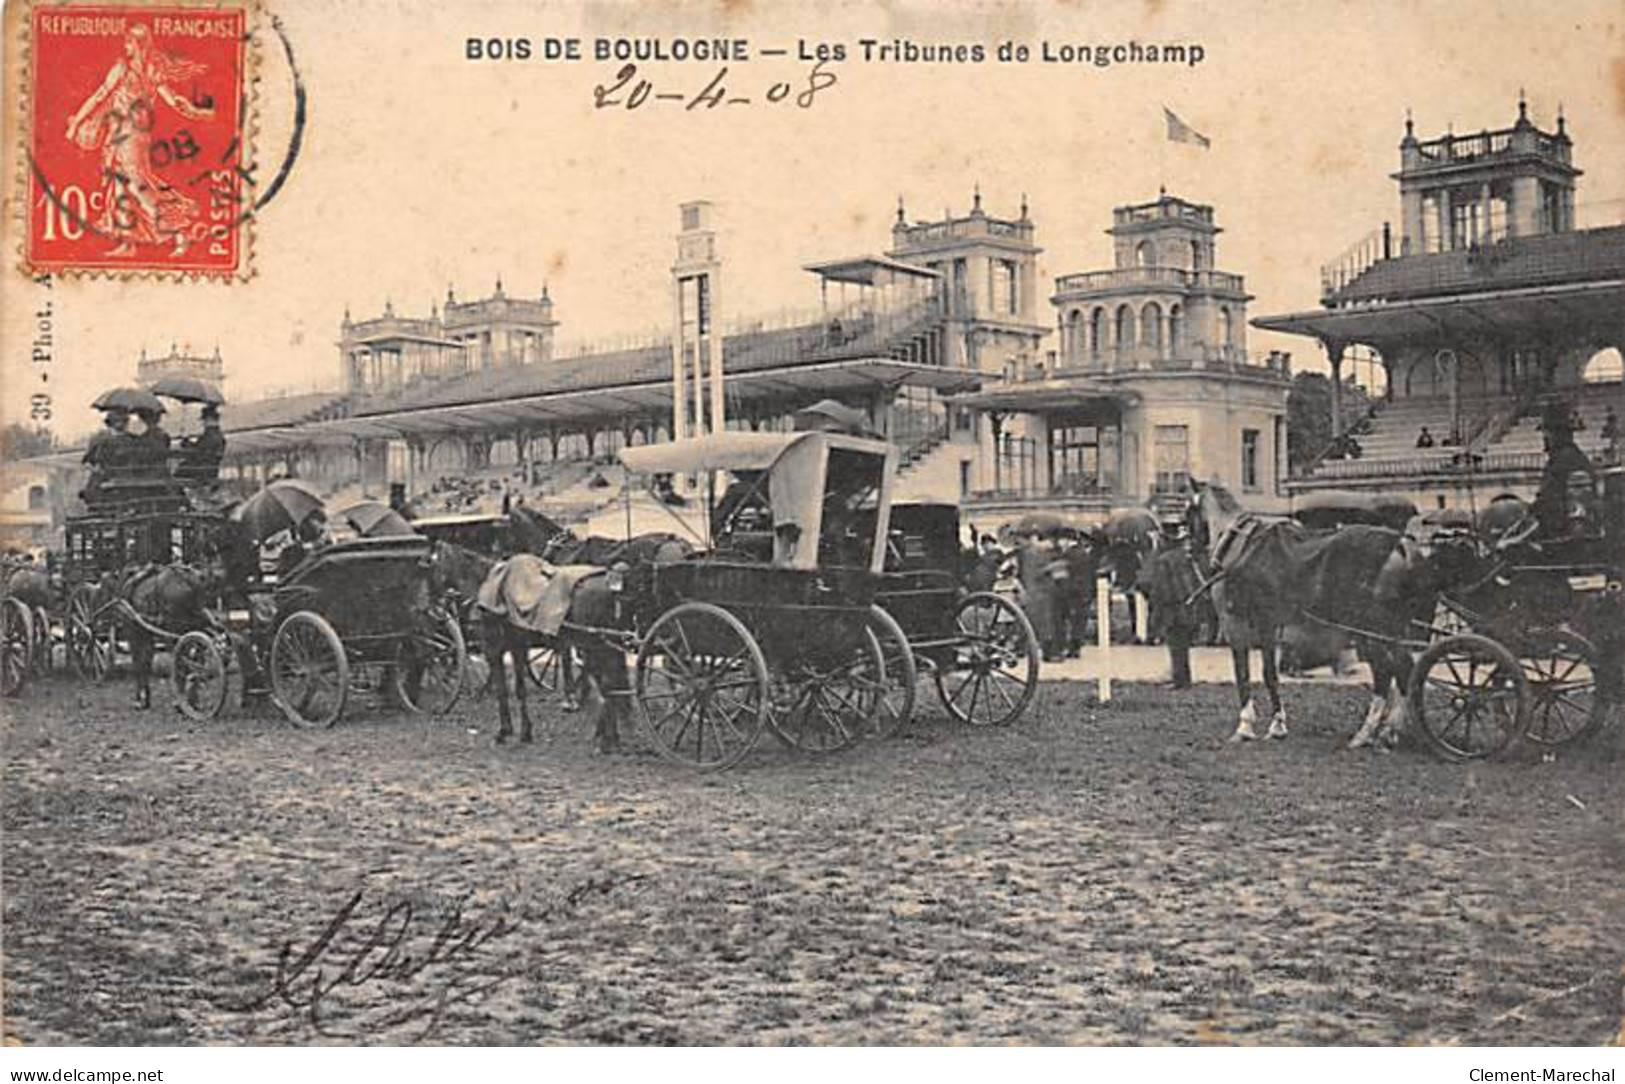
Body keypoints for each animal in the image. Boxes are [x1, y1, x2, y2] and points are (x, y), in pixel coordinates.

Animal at [1183, 481, 1475, 747]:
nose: (1189, 549)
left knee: (1389, 671)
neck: (1238, 544)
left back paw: (1371, 733)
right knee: (1404, 671)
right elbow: (1269, 674)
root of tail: (1400, 543)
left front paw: (1244, 726)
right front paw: (1277, 725)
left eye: (1188, 510)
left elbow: (1242, 674)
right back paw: (1393, 730)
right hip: (1396, 630)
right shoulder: (1267, 624)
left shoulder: (1234, 624)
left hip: (1374, 630)